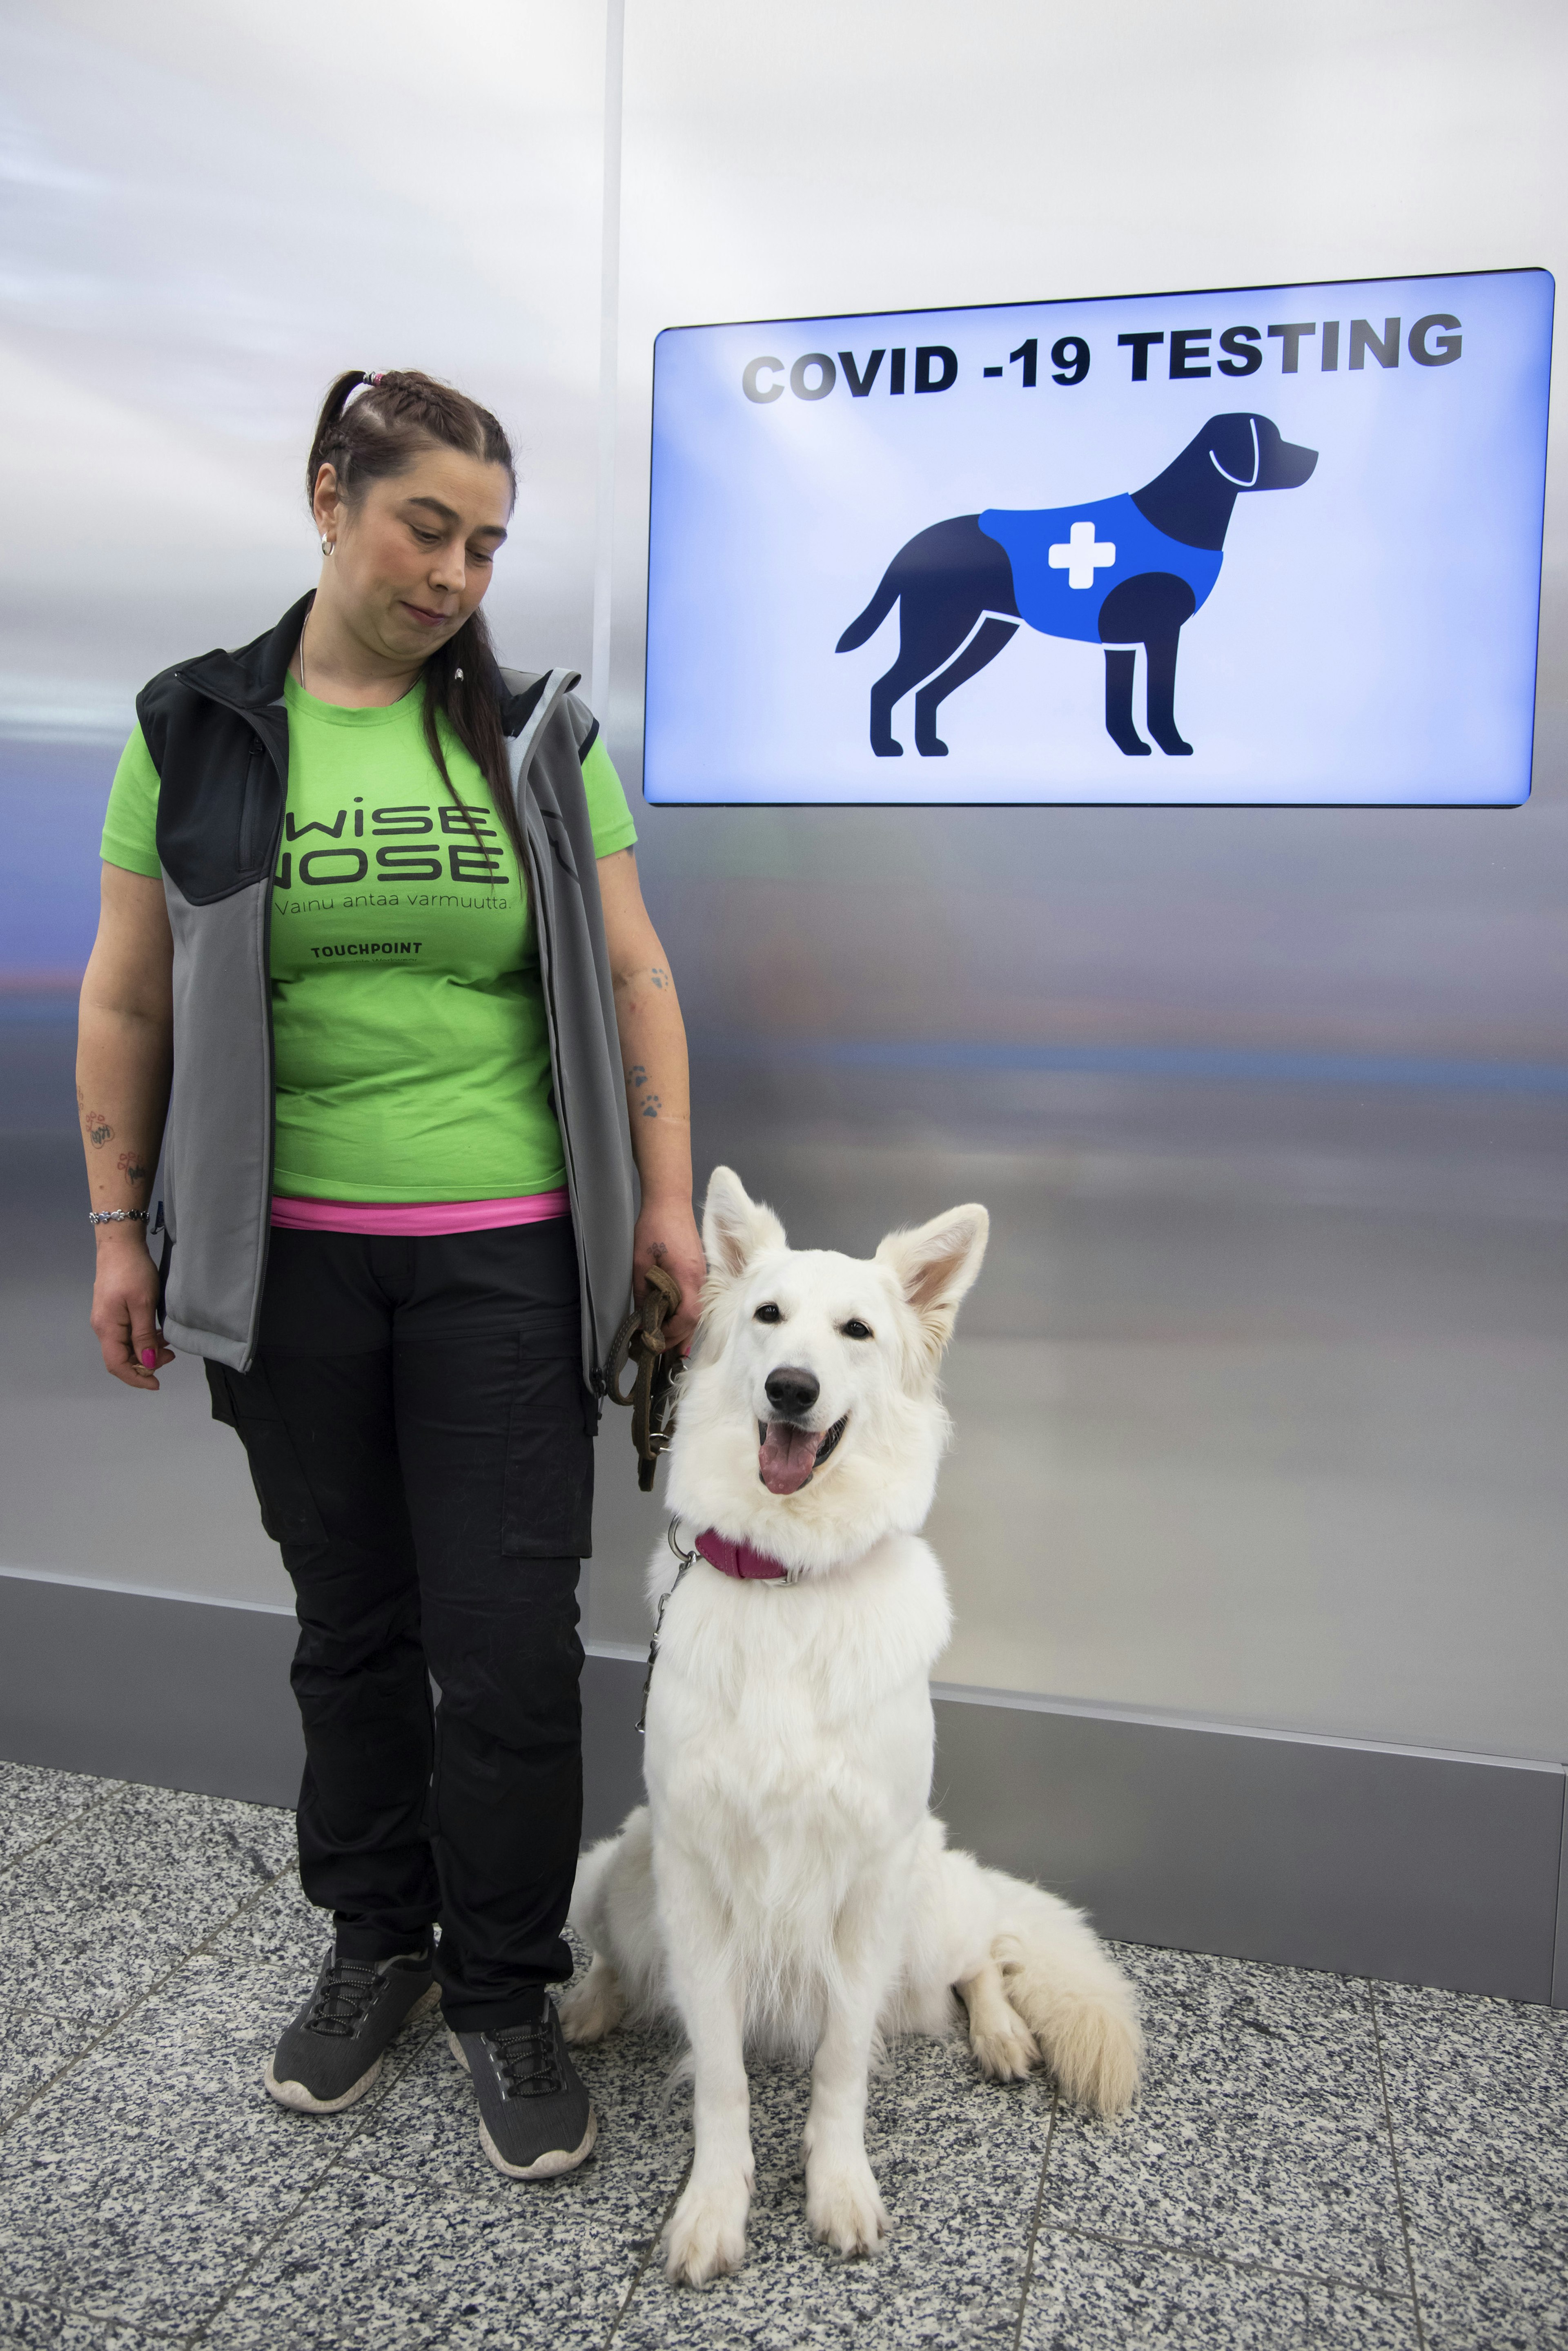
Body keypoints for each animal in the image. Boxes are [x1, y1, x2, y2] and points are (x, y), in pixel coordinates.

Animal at [564, 1166, 1142, 2285]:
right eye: (767, 1316)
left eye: (857, 1331)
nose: (791, 1387)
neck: (789, 1580)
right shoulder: (695, 1879)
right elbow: (721, 2077)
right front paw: (714, 2205)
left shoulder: (868, 1881)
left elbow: (841, 2063)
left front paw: (837, 2186)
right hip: (611, 1868)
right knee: (617, 1955)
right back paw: (590, 2003)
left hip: (925, 1894)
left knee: (983, 1952)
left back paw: (1003, 2035)